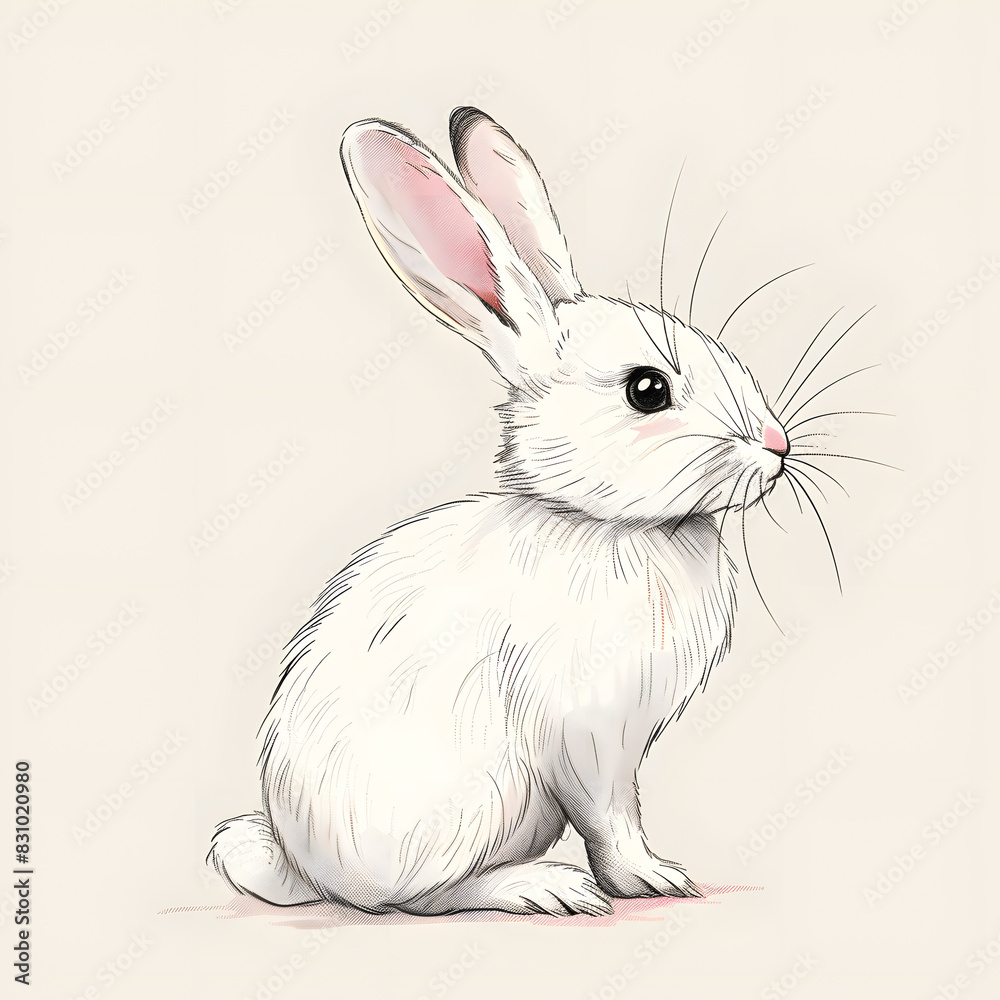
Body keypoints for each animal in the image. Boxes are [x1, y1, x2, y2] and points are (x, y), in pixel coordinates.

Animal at [208, 106, 791, 917]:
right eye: (647, 390)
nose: (777, 446)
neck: (597, 522)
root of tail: (308, 870)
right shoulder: (590, 737)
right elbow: (612, 818)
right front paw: (653, 878)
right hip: (479, 799)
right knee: (421, 898)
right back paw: (545, 887)